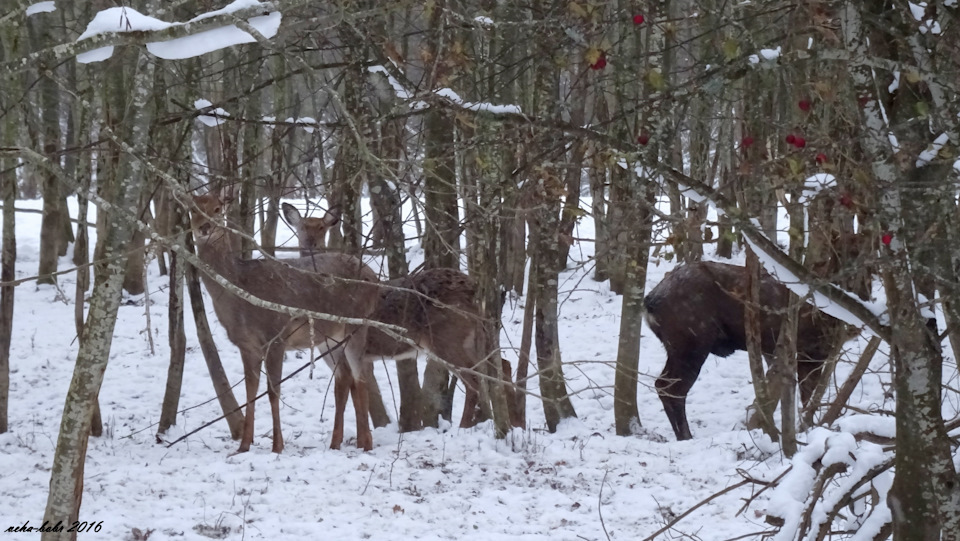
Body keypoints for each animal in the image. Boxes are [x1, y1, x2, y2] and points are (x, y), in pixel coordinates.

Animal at [189, 190, 380, 452]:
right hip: (329, 338)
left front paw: (277, 446)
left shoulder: (276, 334)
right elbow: (250, 392)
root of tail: (376, 278)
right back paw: (338, 442)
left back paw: (366, 444)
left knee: (362, 377)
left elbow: (273, 392)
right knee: (345, 376)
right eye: (193, 209)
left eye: (218, 209)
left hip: (357, 324)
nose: (204, 228)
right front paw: (244, 446)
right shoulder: (246, 345)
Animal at [282, 200, 520, 428]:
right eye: (300, 228)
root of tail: (474, 288)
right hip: (475, 336)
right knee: (502, 367)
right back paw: (511, 422)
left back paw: (465, 427)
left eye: (321, 227)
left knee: (474, 383)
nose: (310, 245)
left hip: (448, 338)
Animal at [644, 260, 856, 440]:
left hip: (680, 346)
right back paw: (686, 436)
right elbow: (807, 396)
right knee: (670, 388)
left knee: (662, 384)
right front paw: (805, 429)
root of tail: (650, 302)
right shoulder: (812, 350)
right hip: (692, 342)